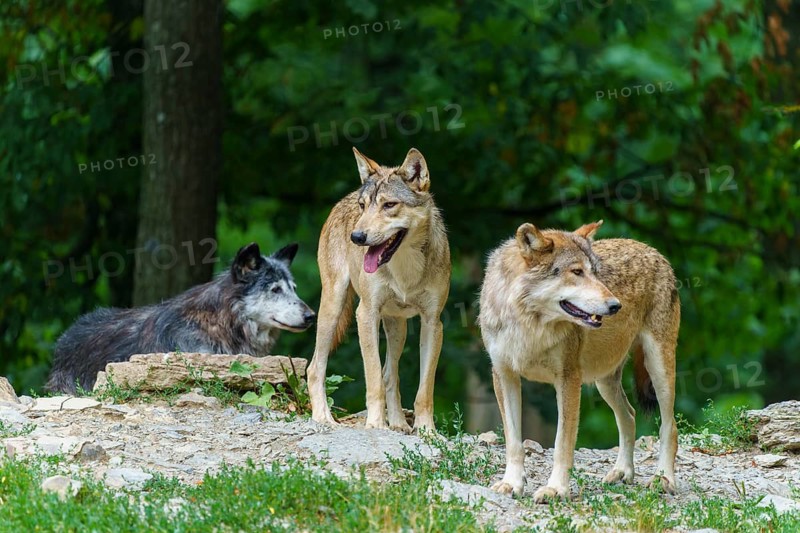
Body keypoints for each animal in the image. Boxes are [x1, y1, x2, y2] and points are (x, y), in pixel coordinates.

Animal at [306, 147, 451, 432]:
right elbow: (372, 379)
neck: (405, 268)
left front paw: (427, 430)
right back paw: (323, 417)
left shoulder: (433, 323)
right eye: (364, 207)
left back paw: (398, 424)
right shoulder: (366, 314)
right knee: (315, 367)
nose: (357, 237)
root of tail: (344, 198)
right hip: (332, 308)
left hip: (398, 327)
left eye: (389, 205)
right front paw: (375, 424)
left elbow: (423, 389)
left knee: (390, 375)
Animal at [479, 220, 680, 502]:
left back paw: (663, 479)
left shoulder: (569, 379)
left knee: (669, 427)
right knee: (629, 416)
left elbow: (562, 443)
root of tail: (653, 251)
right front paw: (511, 483)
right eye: (576, 272)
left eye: (595, 272)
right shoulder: (503, 374)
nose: (615, 305)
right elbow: (513, 441)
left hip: (658, 368)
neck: (529, 325)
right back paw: (622, 472)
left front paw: (555, 489)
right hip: (604, 381)